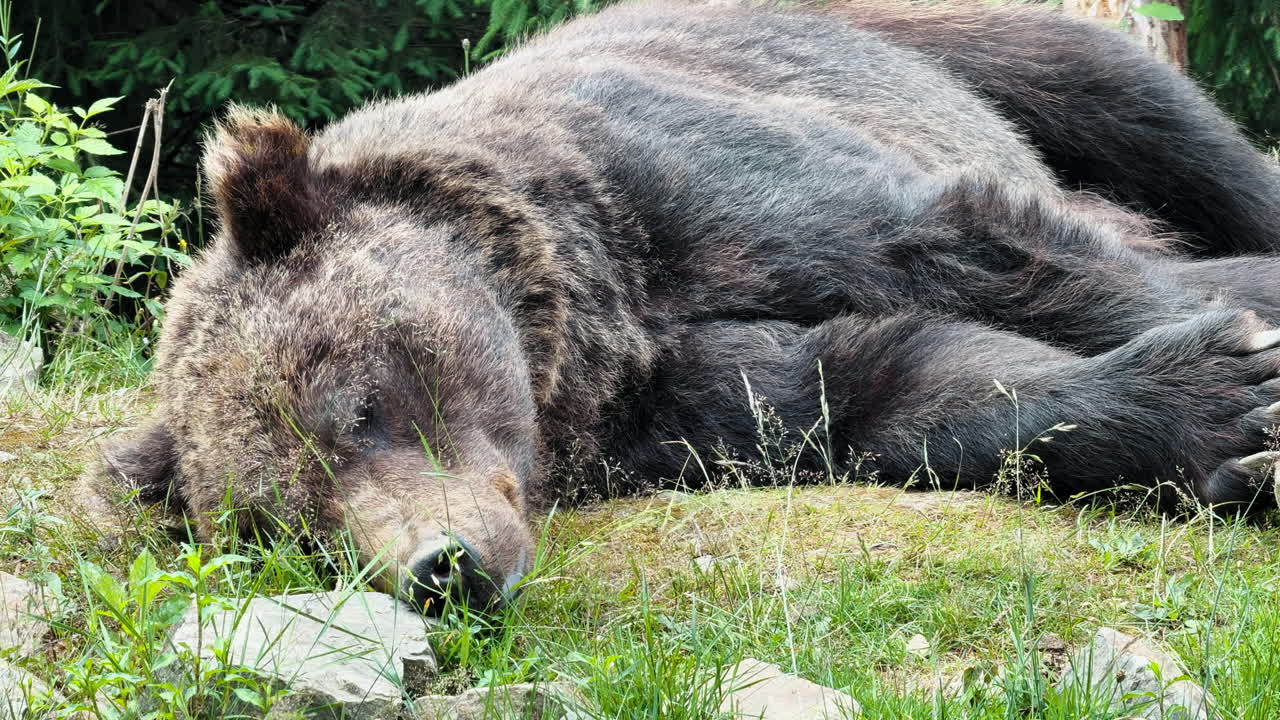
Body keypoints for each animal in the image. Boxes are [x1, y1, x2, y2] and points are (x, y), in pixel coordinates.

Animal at [93, 0, 1280, 614]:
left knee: (1165, 127)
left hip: (955, 51)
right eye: (297, 531)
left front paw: (1247, 351)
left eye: (360, 406)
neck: (596, 314)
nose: (443, 568)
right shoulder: (672, 403)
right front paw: (1217, 418)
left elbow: (979, 248)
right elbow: (883, 384)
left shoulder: (686, 185)